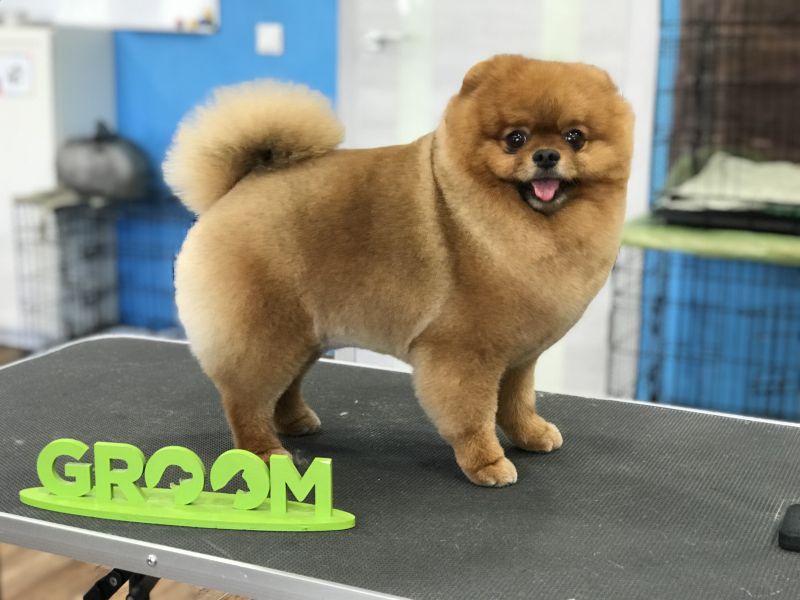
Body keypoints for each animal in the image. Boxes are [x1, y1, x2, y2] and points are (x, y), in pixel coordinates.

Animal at [165, 54, 634, 486]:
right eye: (514, 139)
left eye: (576, 137)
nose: (547, 154)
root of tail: (236, 187)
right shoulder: (466, 352)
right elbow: (474, 414)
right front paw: (486, 462)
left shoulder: (519, 357)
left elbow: (517, 403)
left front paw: (531, 435)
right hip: (266, 333)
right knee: (246, 400)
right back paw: (263, 452)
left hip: (303, 333)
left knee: (284, 388)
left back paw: (296, 422)